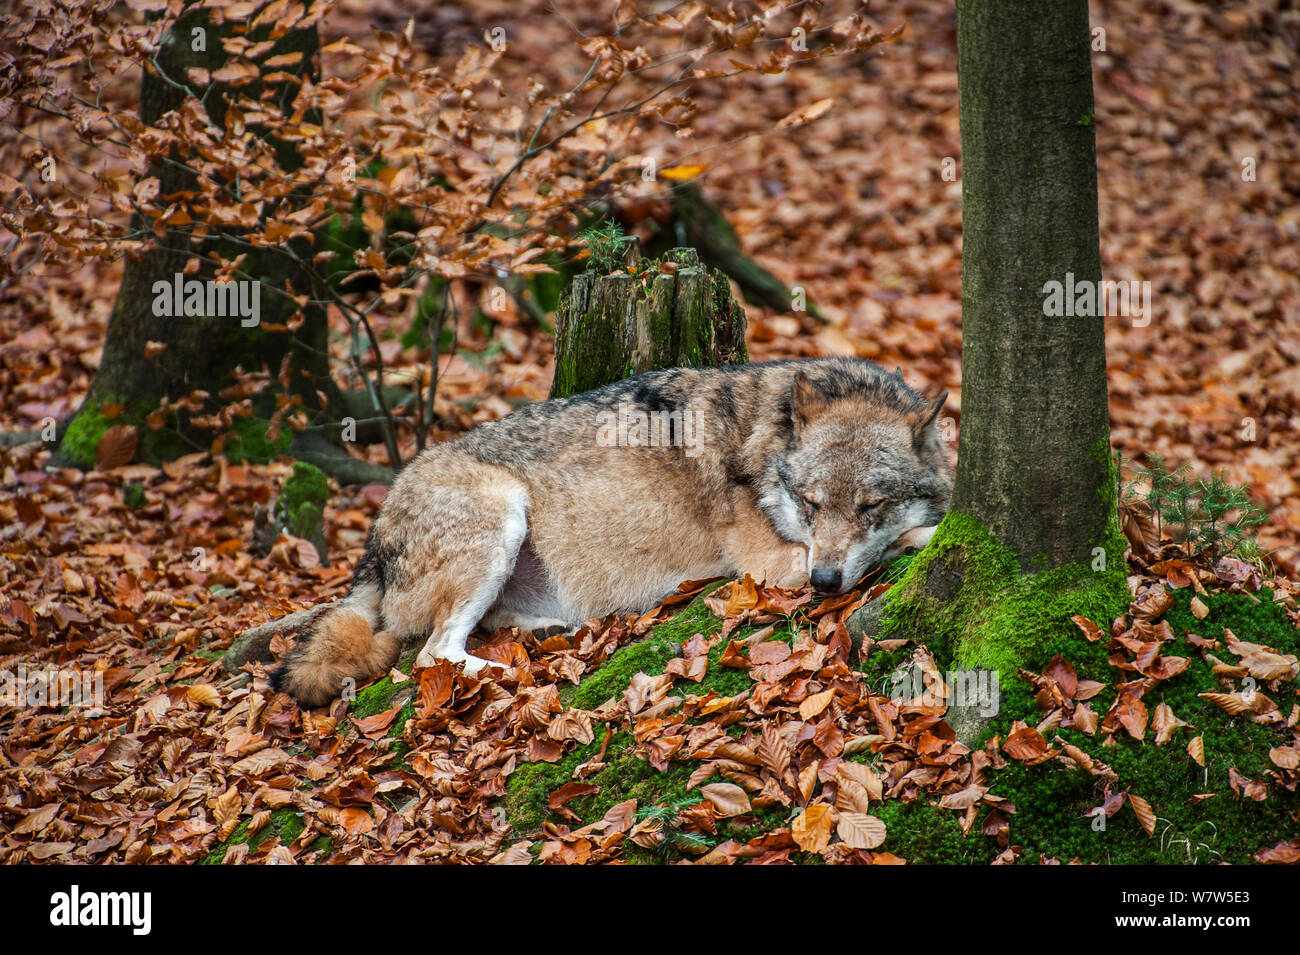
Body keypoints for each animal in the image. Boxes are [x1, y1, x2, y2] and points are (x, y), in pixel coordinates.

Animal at [271, 357, 953, 707]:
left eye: (870, 504)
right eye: (811, 504)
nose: (826, 581)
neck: (763, 441)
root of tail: (371, 548)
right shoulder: (771, 564)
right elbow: (900, 544)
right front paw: (931, 533)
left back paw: (546, 634)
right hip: (502, 514)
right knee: (433, 653)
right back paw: (517, 673)